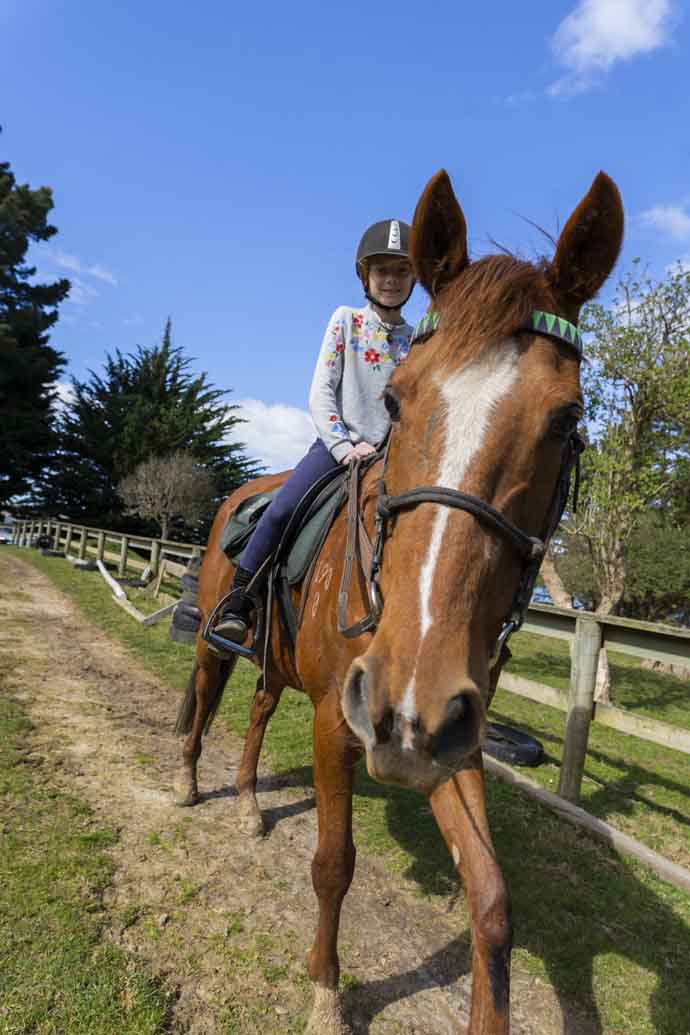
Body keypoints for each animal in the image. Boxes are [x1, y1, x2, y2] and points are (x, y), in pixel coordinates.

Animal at [173, 171, 624, 1035]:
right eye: (399, 400)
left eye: (567, 419)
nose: (402, 693)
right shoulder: (337, 721)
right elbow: (333, 862)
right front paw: (325, 990)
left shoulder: (449, 733)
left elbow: (493, 905)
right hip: (221, 639)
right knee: (207, 697)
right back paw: (185, 781)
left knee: (255, 708)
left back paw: (246, 800)